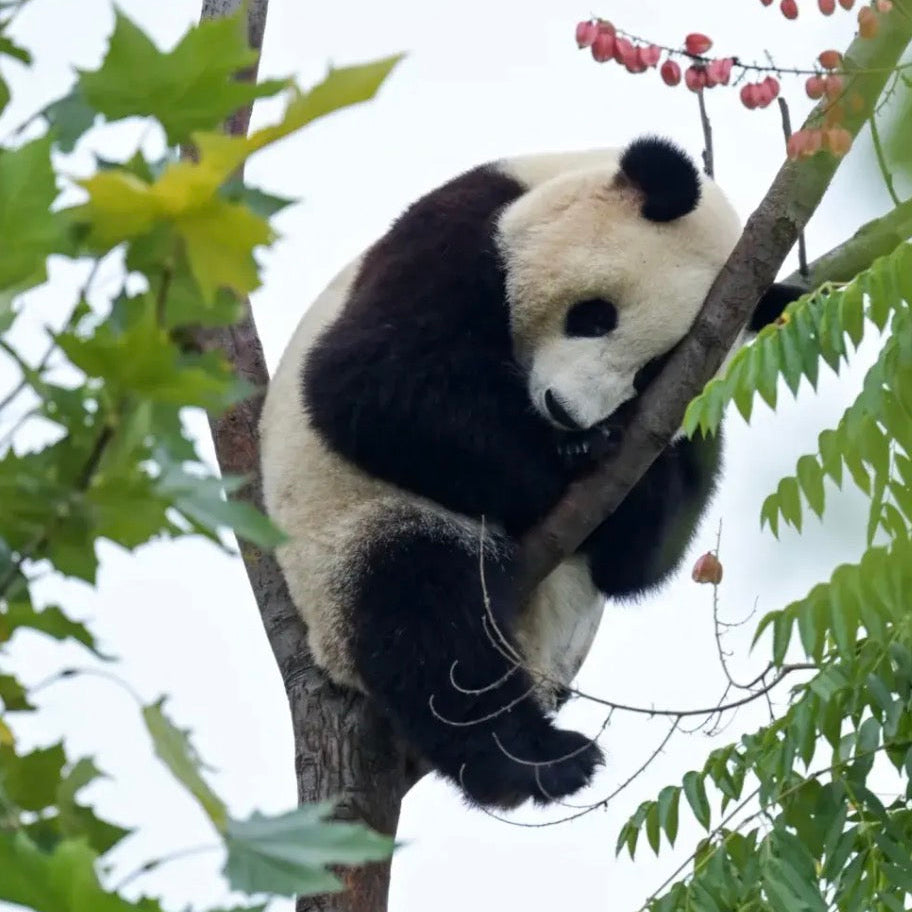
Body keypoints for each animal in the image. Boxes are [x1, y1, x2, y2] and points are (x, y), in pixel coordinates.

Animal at [260, 137, 799, 810]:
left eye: (652, 372)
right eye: (593, 316)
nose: (565, 412)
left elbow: (638, 564)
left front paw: (626, 480)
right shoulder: (462, 239)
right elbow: (370, 382)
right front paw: (574, 456)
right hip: (345, 532)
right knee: (428, 620)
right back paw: (535, 761)